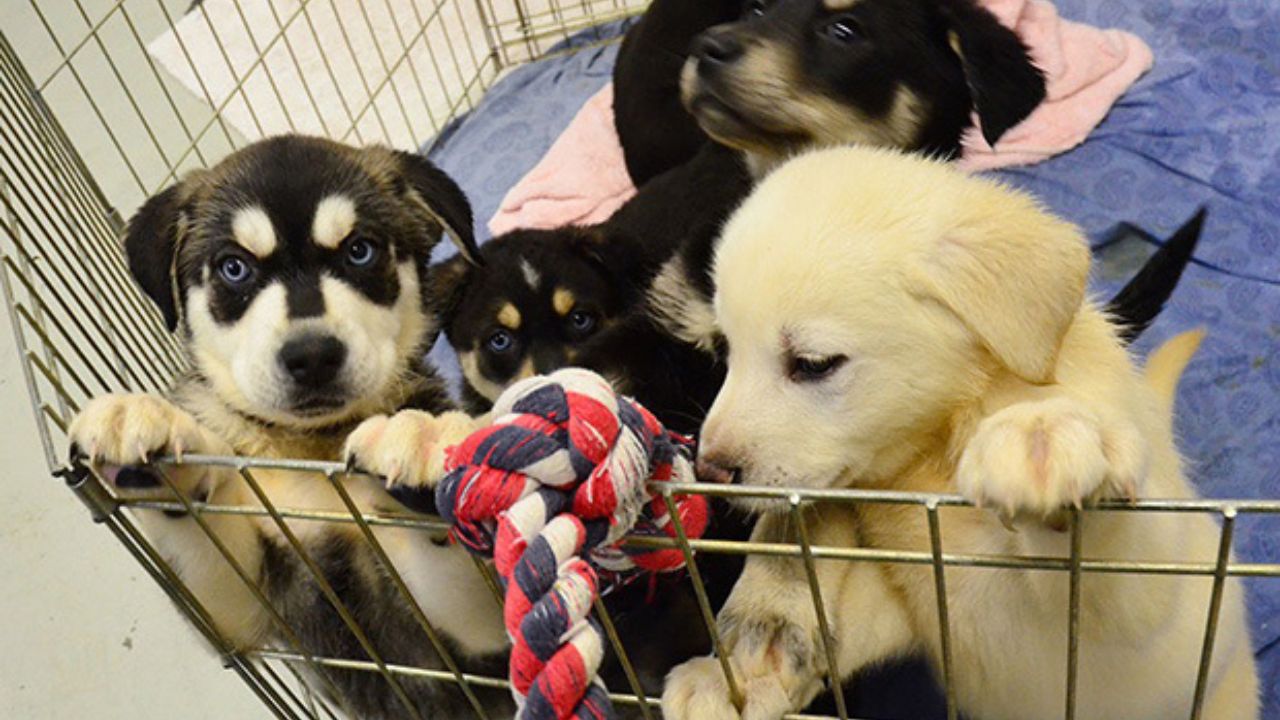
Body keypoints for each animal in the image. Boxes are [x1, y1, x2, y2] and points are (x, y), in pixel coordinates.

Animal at [66, 135, 514, 717]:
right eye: (233, 268)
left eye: (360, 250)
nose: (312, 355)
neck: (310, 450)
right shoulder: (244, 612)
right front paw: (146, 426)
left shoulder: (478, 643)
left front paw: (424, 436)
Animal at [660, 147, 1259, 717]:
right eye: (725, 350)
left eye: (813, 364)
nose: (711, 469)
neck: (934, 457)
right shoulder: (921, 602)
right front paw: (739, 669)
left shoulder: (1135, 604)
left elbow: (1115, 557)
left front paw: (1042, 438)